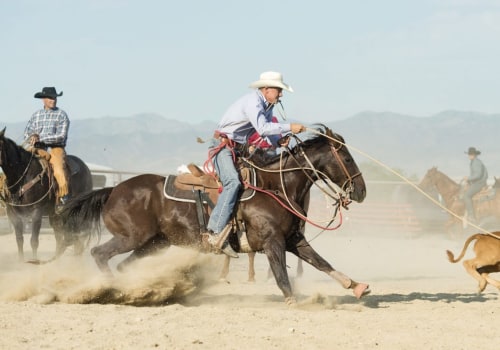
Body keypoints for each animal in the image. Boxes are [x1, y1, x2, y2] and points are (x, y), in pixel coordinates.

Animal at [0, 128, 93, 260]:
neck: (22, 176)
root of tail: (85, 168)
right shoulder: (13, 214)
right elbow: (19, 240)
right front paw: (21, 262)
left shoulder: (36, 211)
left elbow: (34, 241)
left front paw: (34, 261)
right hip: (56, 215)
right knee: (61, 237)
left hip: (78, 211)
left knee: (78, 236)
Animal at [60, 126, 370, 304]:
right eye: (347, 157)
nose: (362, 191)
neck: (274, 186)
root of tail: (113, 190)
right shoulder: (273, 242)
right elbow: (282, 276)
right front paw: (295, 302)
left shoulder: (293, 240)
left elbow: (322, 263)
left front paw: (356, 286)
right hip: (131, 237)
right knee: (100, 253)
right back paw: (111, 289)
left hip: (154, 243)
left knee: (124, 265)